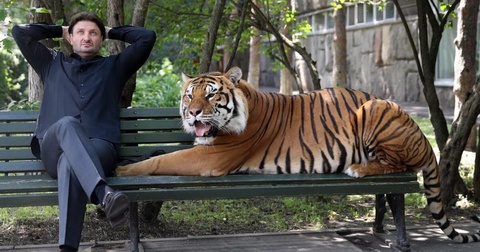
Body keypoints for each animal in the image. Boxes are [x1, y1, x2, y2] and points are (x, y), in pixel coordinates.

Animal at [115, 66, 480, 243]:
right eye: (189, 95)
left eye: (211, 95)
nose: (191, 114)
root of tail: (422, 136)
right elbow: (160, 152)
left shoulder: (211, 158)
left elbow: (161, 160)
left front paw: (121, 169)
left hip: (374, 110)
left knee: (396, 165)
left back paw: (358, 168)